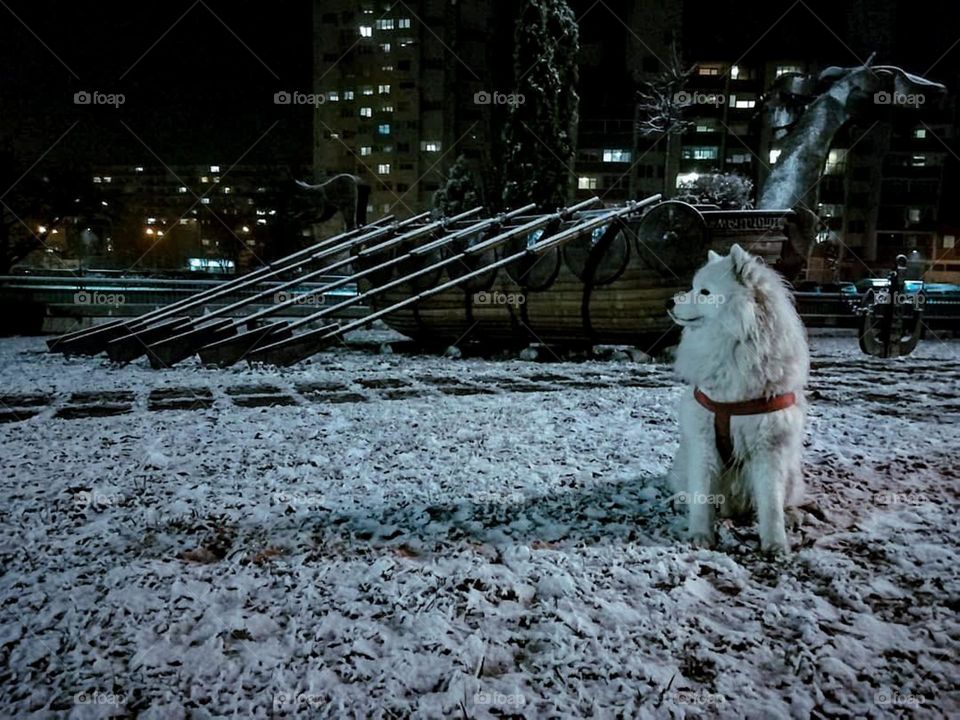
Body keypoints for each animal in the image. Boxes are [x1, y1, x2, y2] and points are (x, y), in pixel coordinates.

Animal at [668, 245, 808, 556]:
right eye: (693, 286)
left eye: (704, 292)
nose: (669, 302)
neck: (733, 347)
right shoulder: (703, 441)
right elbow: (702, 495)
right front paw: (700, 535)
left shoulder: (769, 445)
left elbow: (771, 503)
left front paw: (775, 543)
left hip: (791, 468)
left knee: (784, 500)